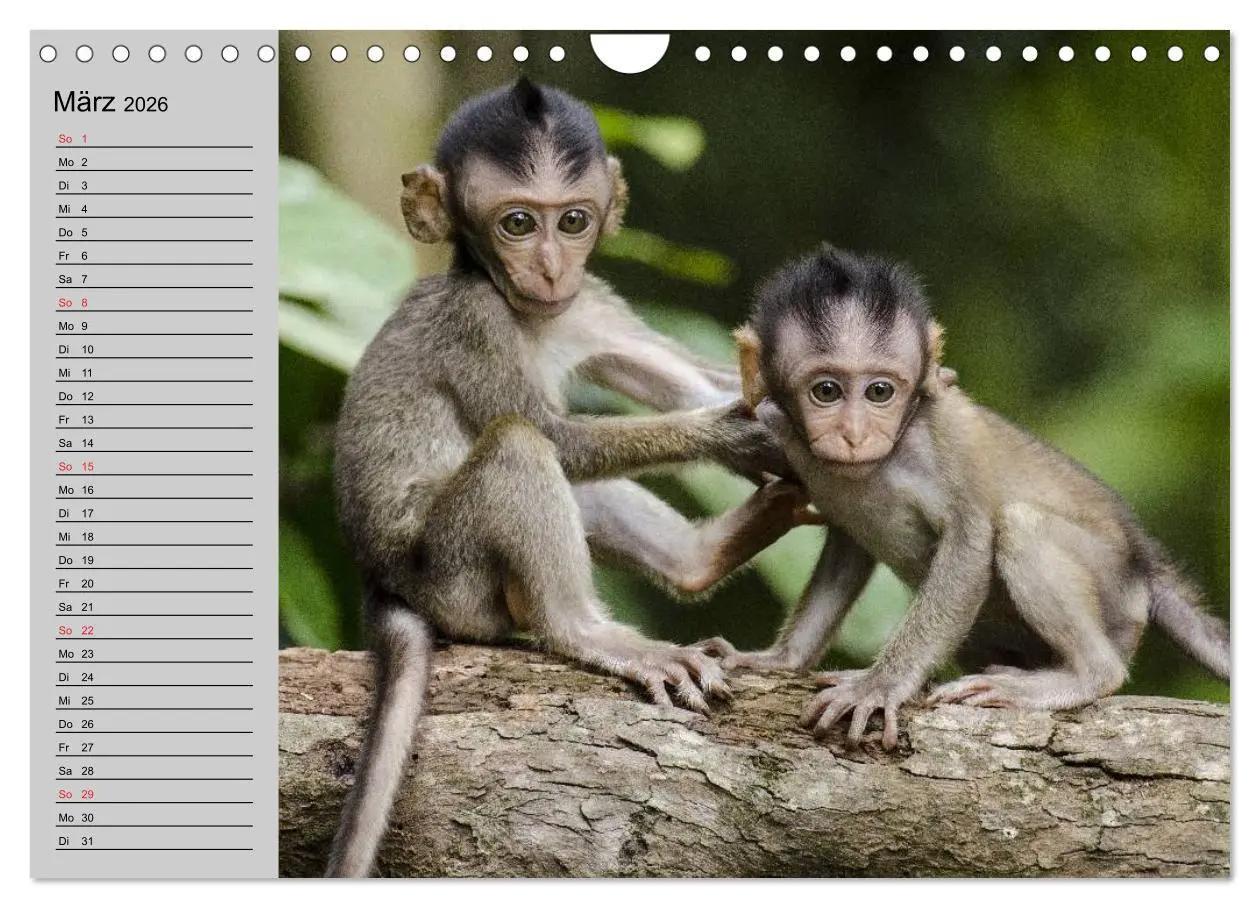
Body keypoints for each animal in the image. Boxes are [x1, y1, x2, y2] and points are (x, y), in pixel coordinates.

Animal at [325, 77, 810, 877]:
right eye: (517, 223)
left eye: (573, 220)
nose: (551, 267)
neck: (530, 314)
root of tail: (382, 581)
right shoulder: (475, 321)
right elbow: (556, 437)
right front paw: (735, 433)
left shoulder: (590, 305)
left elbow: (690, 382)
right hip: (453, 576)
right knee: (521, 447)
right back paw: (585, 631)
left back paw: (702, 557)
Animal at [698, 244, 1229, 750]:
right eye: (826, 391)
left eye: (879, 392)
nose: (855, 435)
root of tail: (1143, 562)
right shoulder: (784, 432)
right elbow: (847, 547)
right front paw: (779, 660)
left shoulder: (946, 435)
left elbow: (969, 543)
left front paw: (879, 685)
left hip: (1114, 591)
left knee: (1021, 526)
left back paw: (1083, 674)